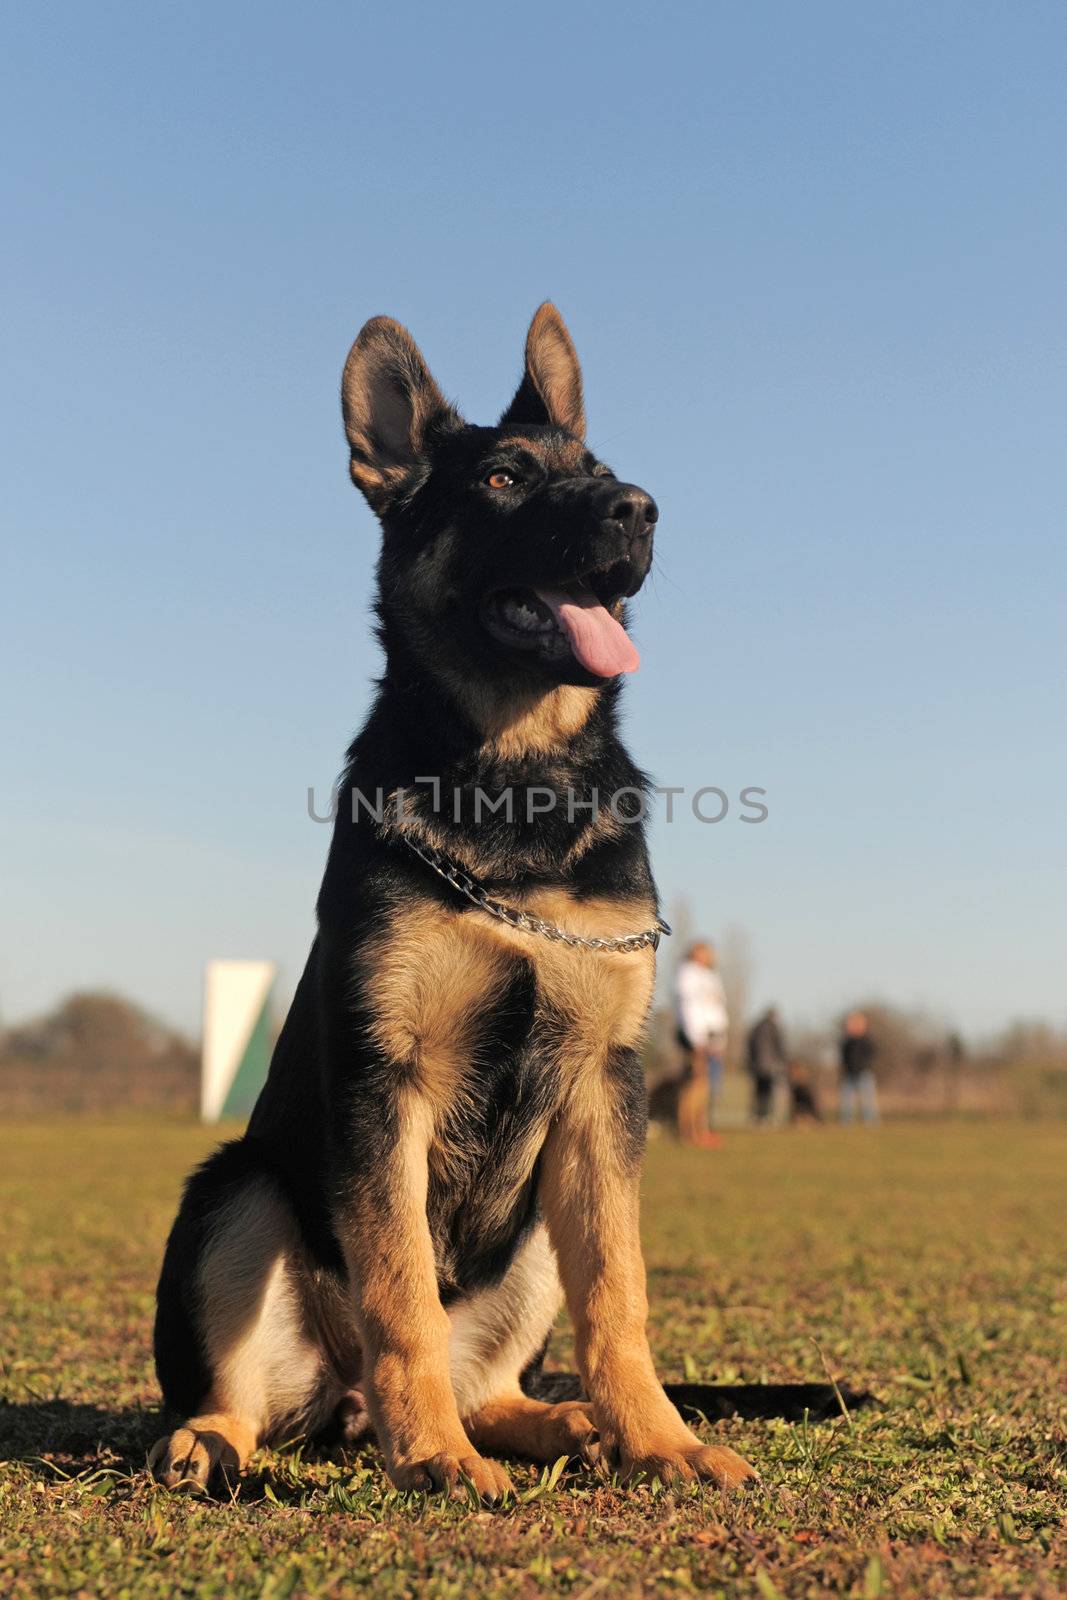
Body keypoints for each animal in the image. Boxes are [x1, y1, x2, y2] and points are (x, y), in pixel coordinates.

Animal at [147, 302, 758, 1497]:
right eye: (502, 480)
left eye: (601, 474)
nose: (639, 509)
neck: (515, 782)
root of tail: (337, 1407)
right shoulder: (385, 1079)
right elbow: (399, 1294)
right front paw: (428, 1452)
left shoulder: (601, 1089)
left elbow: (619, 1294)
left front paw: (658, 1439)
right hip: (236, 1190)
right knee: (250, 1390)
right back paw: (224, 1438)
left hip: (529, 1241)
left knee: (500, 1376)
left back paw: (562, 1424)